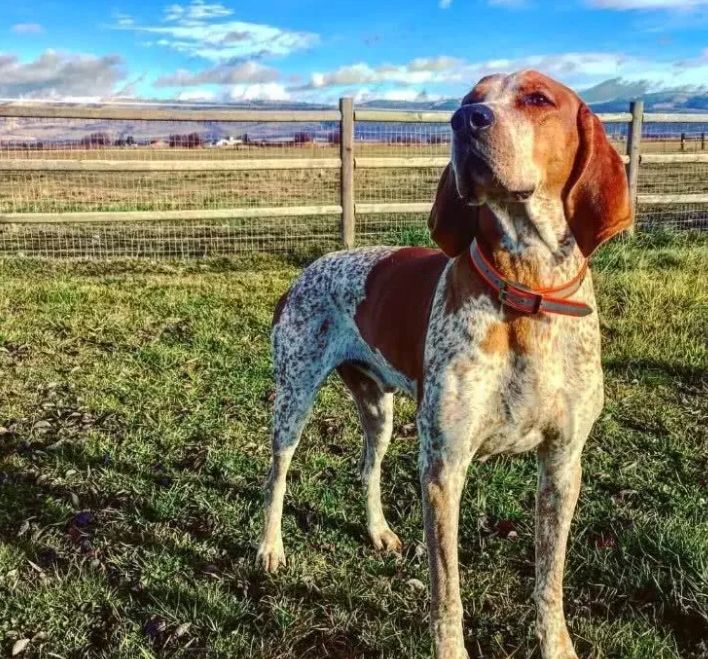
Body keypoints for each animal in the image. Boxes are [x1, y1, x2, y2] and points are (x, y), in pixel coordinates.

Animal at [256, 69, 632, 656]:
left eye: (538, 98)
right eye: (468, 99)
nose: (464, 121)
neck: (527, 286)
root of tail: (308, 270)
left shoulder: (563, 465)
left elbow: (550, 584)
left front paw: (557, 645)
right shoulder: (443, 468)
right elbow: (447, 594)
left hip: (379, 411)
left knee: (367, 468)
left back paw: (378, 531)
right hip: (293, 399)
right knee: (277, 474)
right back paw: (270, 548)